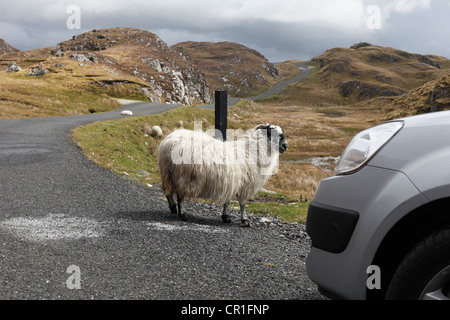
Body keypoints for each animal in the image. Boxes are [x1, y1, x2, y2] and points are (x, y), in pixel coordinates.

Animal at [158, 122, 288, 225]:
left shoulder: (231, 182)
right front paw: (245, 220)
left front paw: (226, 217)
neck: (250, 152)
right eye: (270, 132)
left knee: (168, 192)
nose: (285, 145)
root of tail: (168, 143)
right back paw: (183, 214)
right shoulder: (244, 185)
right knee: (180, 196)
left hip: (168, 173)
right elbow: (242, 204)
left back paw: (173, 208)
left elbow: (227, 202)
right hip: (184, 176)